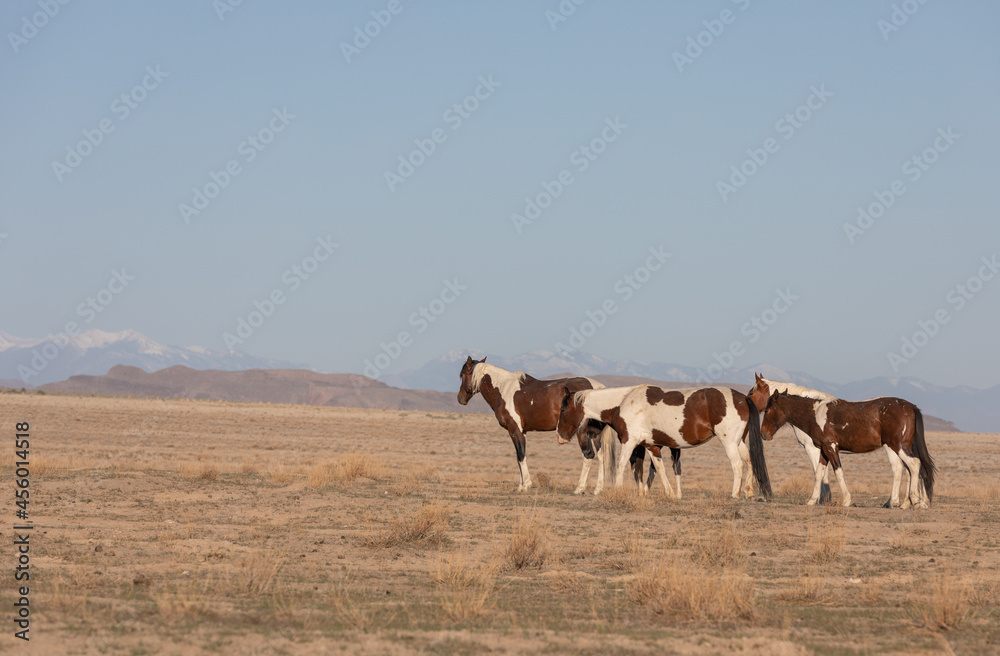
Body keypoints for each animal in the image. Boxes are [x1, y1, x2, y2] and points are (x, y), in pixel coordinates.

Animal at [456, 356, 619, 493]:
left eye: (462, 374)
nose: (460, 398)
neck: (503, 389)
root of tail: (597, 388)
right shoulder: (522, 432)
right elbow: (520, 456)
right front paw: (521, 485)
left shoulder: (514, 430)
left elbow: (520, 455)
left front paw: (526, 485)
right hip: (594, 433)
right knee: (601, 456)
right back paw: (598, 489)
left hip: (582, 433)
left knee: (589, 455)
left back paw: (579, 488)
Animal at [557, 384, 771, 499]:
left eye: (563, 409)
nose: (559, 436)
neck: (623, 401)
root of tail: (743, 398)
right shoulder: (651, 446)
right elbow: (659, 469)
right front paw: (670, 494)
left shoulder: (629, 441)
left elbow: (621, 465)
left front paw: (617, 490)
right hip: (739, 442)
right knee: (749, 461)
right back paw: (749, 492)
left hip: (729, 442)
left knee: (737, 465)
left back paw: (734, 494)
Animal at [747, 374, 836, 503]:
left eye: (751, 393)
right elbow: (824, 472)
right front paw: (825, 498)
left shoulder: (813, 448)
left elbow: (818, 471)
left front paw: (820, 499)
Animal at [752, 389, 935, 508]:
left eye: (767, 410)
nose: (764, 434)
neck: (815, 415)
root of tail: (911, 407)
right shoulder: (823, 451)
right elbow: (819, 474)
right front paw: (811, 500)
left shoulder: (831, 448)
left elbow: (838, 472)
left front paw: (846, 500)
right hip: (898, 447)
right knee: (908, 469)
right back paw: (905, 503)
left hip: (898, 447)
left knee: (913, 465)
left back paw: (914, 500)